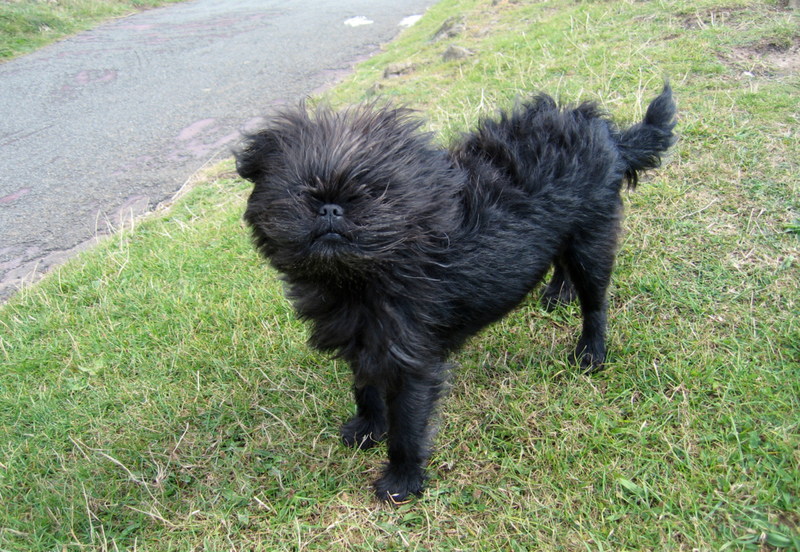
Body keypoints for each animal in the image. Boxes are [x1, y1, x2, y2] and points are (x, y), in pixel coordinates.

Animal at [236, 84, 676, 502]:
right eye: (298, 191)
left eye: (372, 191)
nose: (329, 207)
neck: (356, 279)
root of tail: (606, 133)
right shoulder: (366, 341)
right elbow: (365, 387)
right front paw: (368, 427)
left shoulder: (412, 360)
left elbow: (406, 426)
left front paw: (402, 481)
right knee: (561, 260)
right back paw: (556, 293)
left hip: (591, 235)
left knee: (595, 301)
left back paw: (591, 351)